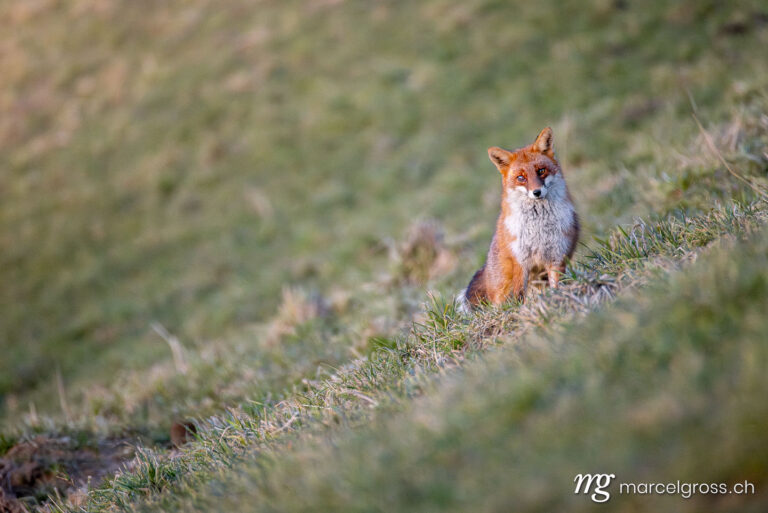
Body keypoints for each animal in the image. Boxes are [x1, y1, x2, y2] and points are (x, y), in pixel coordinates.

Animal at [460, 127, 580, 312]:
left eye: (541, 171)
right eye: (521, 178)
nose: (537, 192)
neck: (539, 228)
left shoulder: (556, 256)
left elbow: (556, 285)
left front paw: (556, 299)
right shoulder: (520, 261)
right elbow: (518, 295)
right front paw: (519, 312)